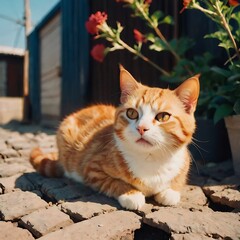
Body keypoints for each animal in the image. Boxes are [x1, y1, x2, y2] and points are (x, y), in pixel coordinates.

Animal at [30, 66, 199, 210]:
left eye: (163, 116)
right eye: (132, 113)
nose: (141, 128)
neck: (151, 159)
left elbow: (177, 182)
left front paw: (170, 191)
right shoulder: (92, 169)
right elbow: (114, 183)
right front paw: (131, 194)